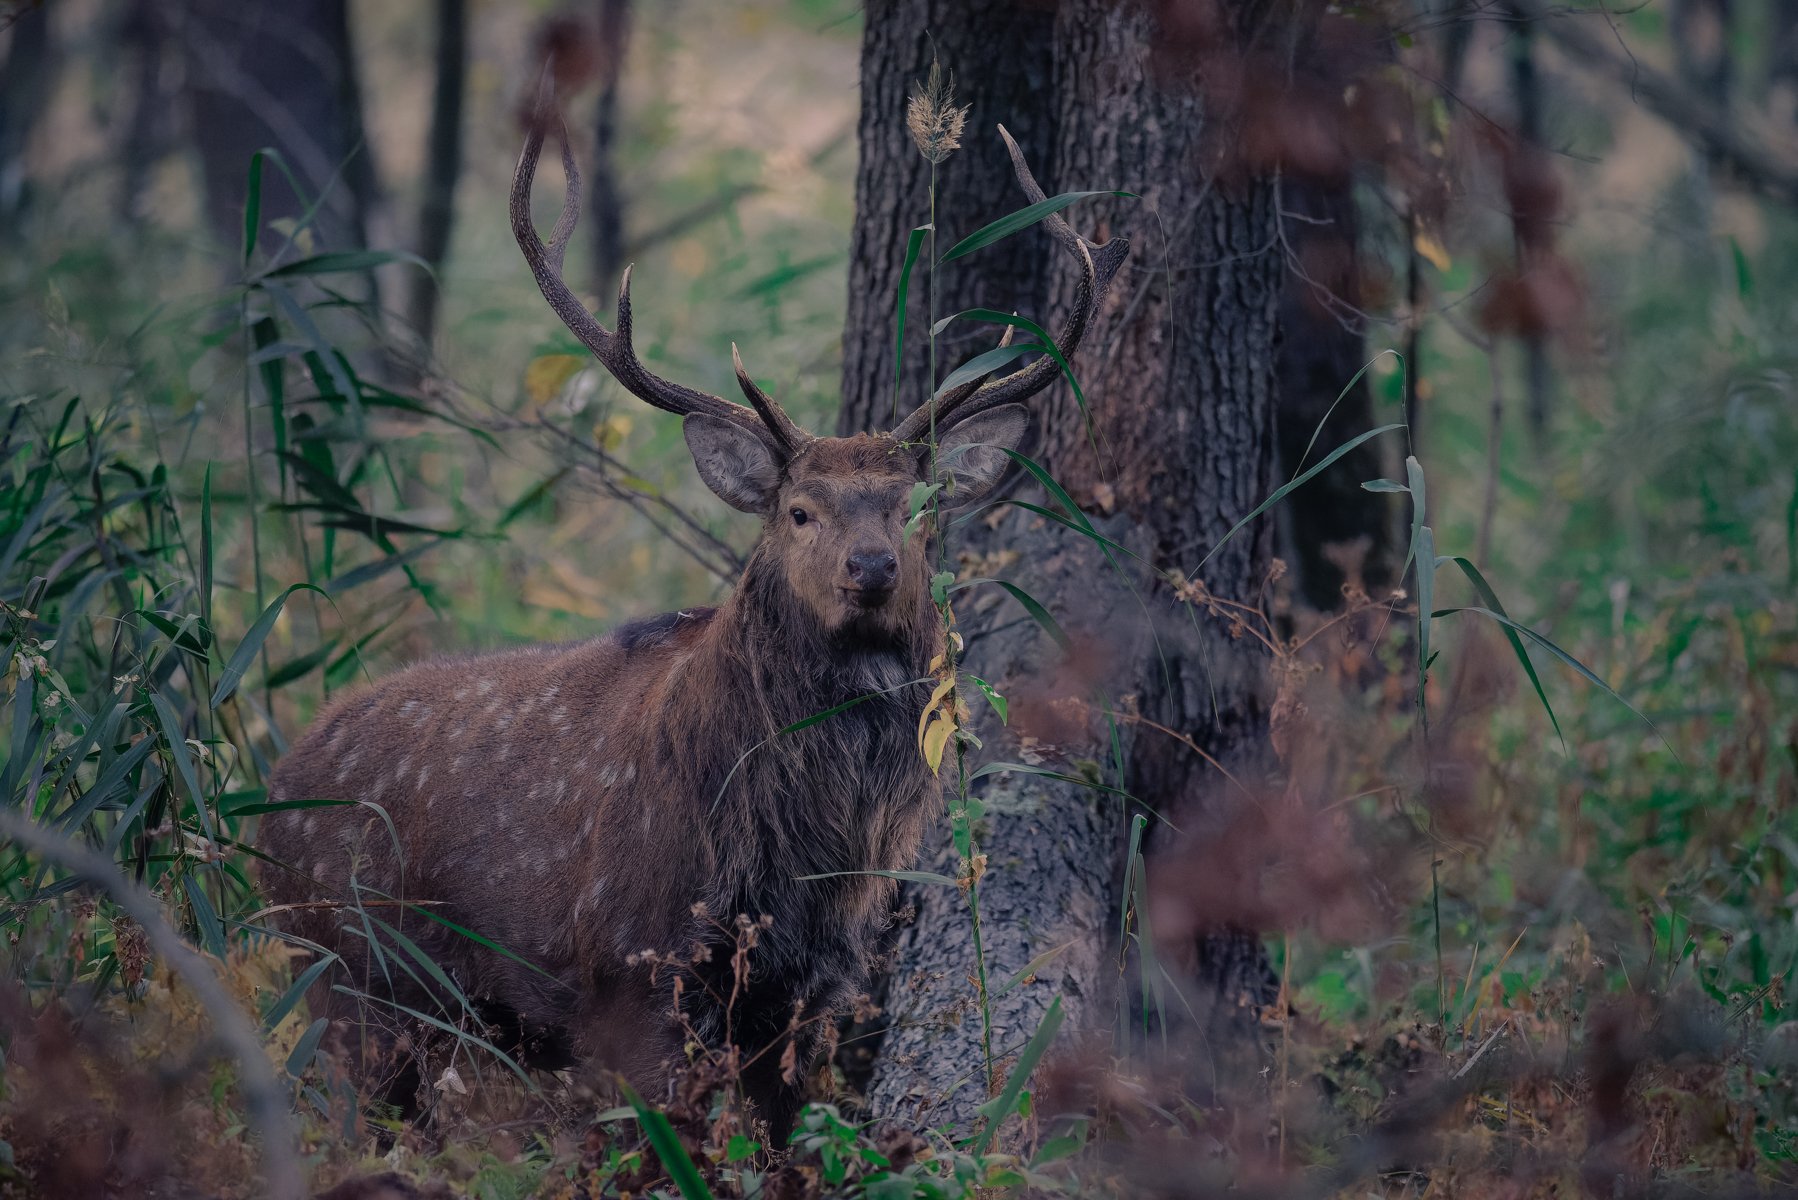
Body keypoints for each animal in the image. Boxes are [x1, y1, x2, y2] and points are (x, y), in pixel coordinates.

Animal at [257, 86, 1121, 1144]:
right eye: (800, 511)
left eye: (916, 510)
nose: (872, 568)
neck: (802, 859)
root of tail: (266, 791)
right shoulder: (635, 971)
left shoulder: (809, 991)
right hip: (345, 970)